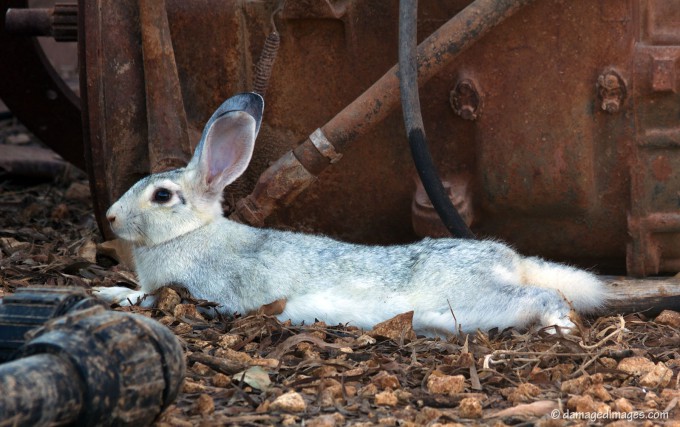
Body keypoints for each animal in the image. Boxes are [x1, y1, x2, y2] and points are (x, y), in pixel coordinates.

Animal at [94, 93, 604, 338]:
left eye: (162, 196)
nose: (112, 218)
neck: (189, 234)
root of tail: (508, 260)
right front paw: (103, 289)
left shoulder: (196, 291)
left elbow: (143, 299)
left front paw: (108, 293)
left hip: (476, 296)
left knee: (542, 296)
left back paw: (558, 325)